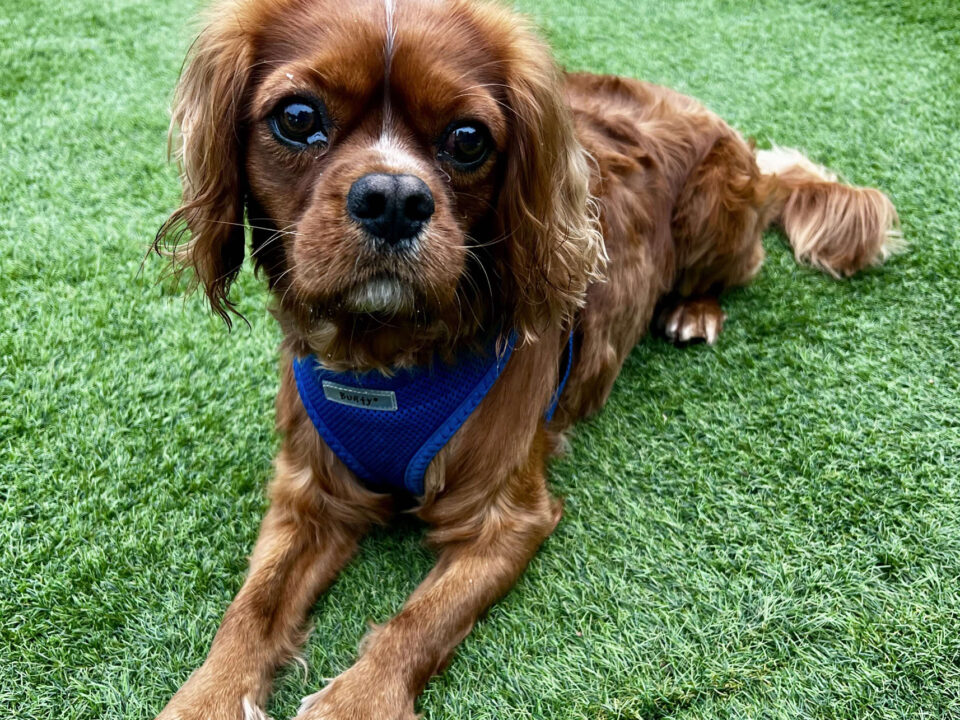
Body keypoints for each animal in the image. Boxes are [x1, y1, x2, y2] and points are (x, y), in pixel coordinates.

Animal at [152, 1, 900, 720]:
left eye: (468, 139)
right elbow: (250, 609)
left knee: (745, 263)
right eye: (298, 117)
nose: (393, 199)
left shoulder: (507, 517)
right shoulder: (309, 493)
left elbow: (419, 621)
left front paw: (356, 703)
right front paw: (206, 698)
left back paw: (694, 310)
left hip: (714, 213)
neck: (386, 355)